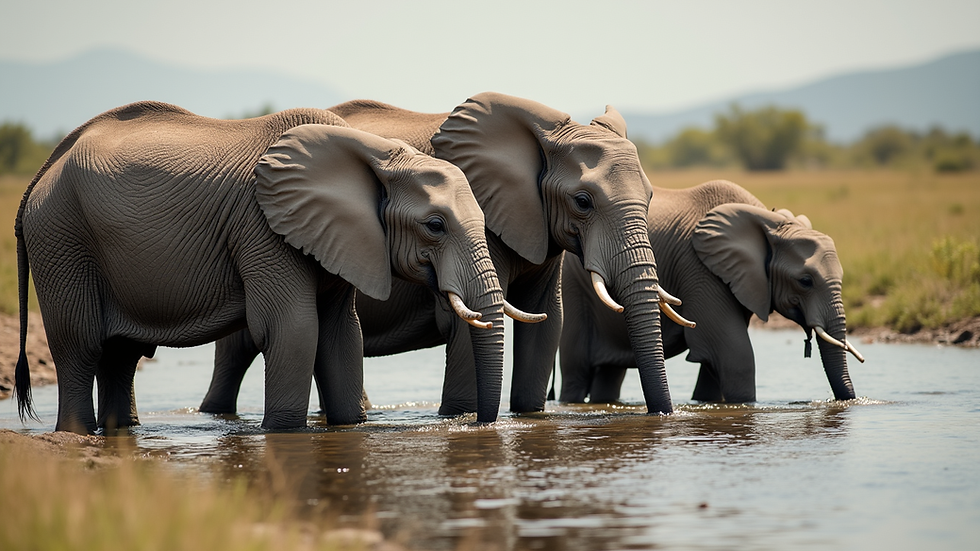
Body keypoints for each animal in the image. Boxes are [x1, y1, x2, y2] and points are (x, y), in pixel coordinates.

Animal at [13, 101, 505, 434]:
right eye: (435, 226)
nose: (478, 424)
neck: (373, 154)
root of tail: (42, 171)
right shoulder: (262, 227)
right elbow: (295, 329)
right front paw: (284, 433)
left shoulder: (340, 239)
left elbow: (342, 336)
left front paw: (348, 429)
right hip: (61, 238)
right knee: (80, 345)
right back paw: (76, 433)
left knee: (121, 354)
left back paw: (122, 432)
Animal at [200, 92, 679, 418]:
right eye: (583, 202)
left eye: (651, 197)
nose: (662, 414)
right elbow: (466, 321)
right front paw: (465, 418)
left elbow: (546, 320)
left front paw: (527, 415)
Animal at [559, 179, 864, 404]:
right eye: (805, 281)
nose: (846, 402)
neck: (769, 220)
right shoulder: (701, 270)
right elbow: (734, 356)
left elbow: (713, 367)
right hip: (573, 288)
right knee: (575, 372)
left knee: (610, 374)